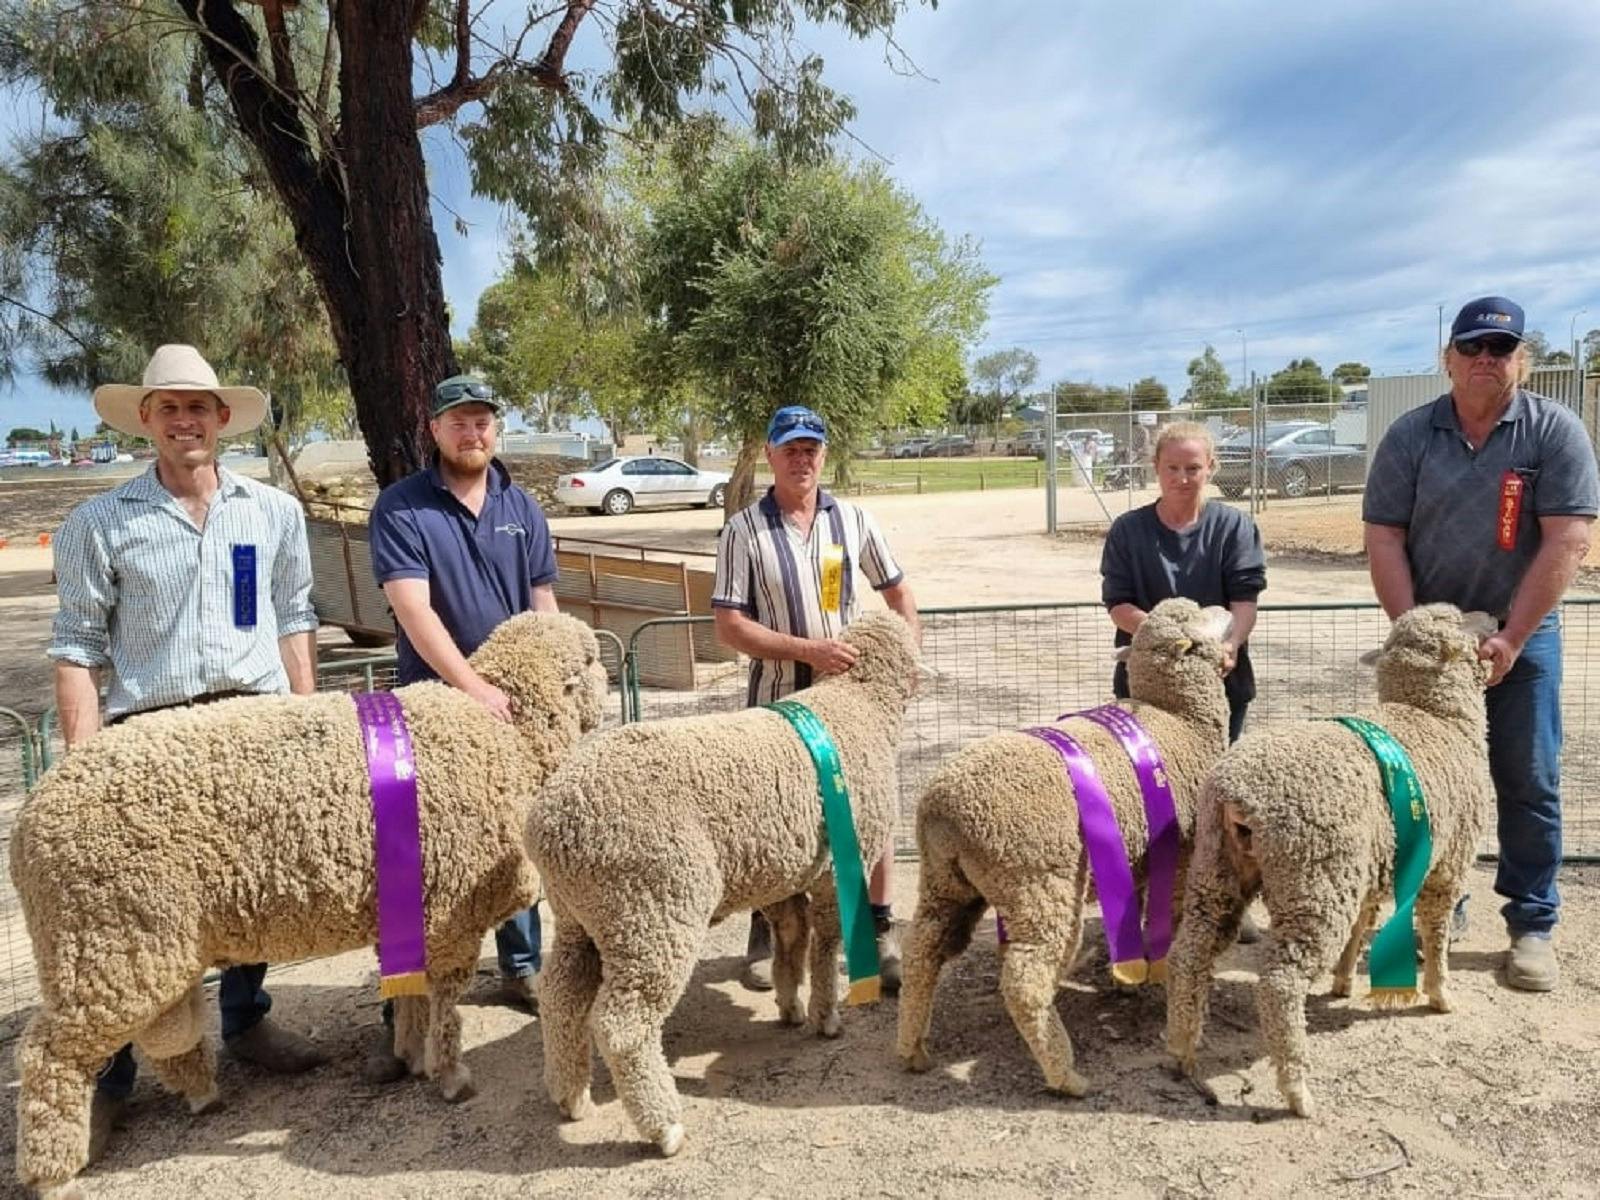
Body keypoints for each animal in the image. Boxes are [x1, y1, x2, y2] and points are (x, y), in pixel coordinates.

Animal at [11, 612, 607, 1200]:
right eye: (593, 660)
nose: (607, 689)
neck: (507, 736)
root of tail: (28, 821)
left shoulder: (412, 911)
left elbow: (412, 996)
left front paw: (410, 1055)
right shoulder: (449, 917)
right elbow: (443, 1005)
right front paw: (449, 1075)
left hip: (139, 944)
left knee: (160, 1036)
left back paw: (201, 1095)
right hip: (106, 940)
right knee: (50, 1056)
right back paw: (53, 1173)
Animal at [525, 610, 921, 1158]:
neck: (855, 705)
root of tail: (549, 823)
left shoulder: (782, 872)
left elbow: (792, 939)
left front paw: (789, 1005)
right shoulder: (838, 865)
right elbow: (824, 945)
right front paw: (825, 1016)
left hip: (583, 915)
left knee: (560, 996)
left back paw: (571, 1095)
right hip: (651, 905)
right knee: (622, 1026)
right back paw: (663, 1127)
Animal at [895, 597, 1234, 1097]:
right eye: (1198, 616)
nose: (1229, 611)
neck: (1180, 719)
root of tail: (943, 806)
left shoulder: (1138, 857)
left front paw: (1128, 976)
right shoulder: (1183, 855)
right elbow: (1171, 923)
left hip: (946, 881)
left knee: (922, 950)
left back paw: (912, 1048)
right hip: (1039, 884)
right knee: (1025, 981)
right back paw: (1065, 1074)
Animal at [1164, 603, 1496, 1120]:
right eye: (1459, 621)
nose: (1498, 620)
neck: (1434, 716)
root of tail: (1236, 794)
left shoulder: (1373, 867)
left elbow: (1363, 925)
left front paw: (1342, 981)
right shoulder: (1448, 863)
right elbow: (1435, 933)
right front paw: (1440, 994)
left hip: (1218, 870)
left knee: (1189, 955)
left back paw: (1181, 1047)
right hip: (1313, 882)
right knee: (1280, 984)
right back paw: (1297, 1091)